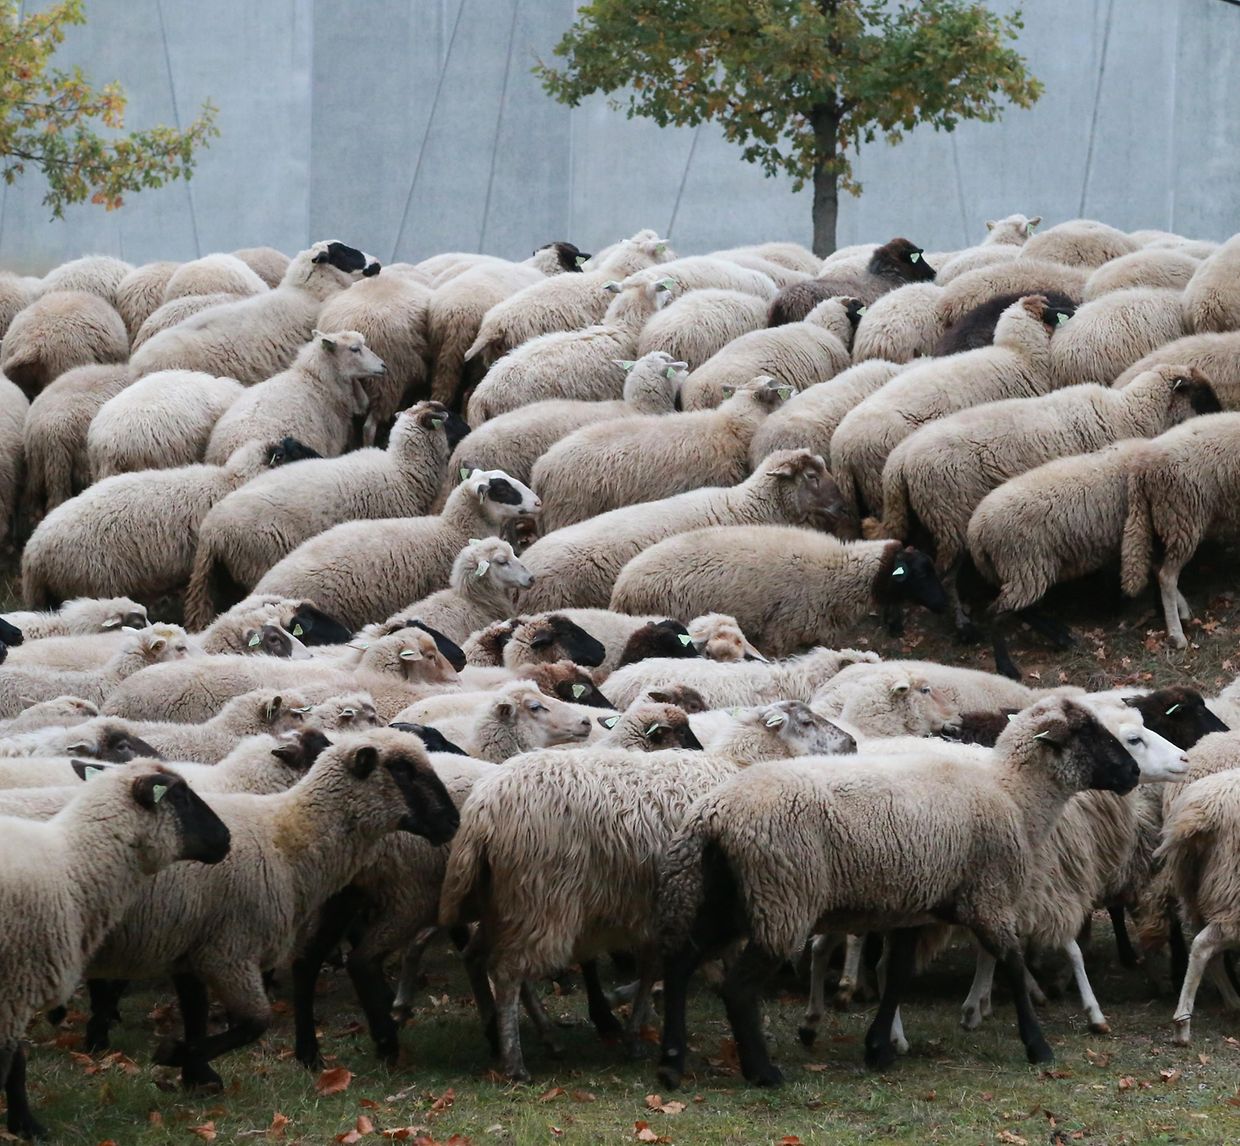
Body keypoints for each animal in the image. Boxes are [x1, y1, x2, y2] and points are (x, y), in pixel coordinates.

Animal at [0, 762, 230, 1139]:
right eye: (180, 796)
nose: (227, 838)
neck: (71, 869)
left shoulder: (15, 990)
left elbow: (15, 1062)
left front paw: (25, 1125)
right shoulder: (14, 988)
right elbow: (9, 1063)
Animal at [656, 696, 1137, 1086]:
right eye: (1087, 731)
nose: (1132, 772)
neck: (1013, 794)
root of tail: (713, 815)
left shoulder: (916, 907)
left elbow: (897, 974)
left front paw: (879, 1048)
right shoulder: (988, 896)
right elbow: (1014, 965)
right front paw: (1037, 1046)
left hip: (724, 900)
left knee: (678, 965)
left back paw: (672, 1063)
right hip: (782, 899)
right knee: (737, 989)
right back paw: (762, 1072)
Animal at [874, 364, 1221, 633]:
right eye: (1203, 395)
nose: (1224, 419)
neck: (1129, 414)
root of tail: (899, 460)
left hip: (924, 517)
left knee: (897, 553)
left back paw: (893, 617)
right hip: (951, 518)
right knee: (946, 576)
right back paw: (962, 622)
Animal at [1120, 412, 1240, 647]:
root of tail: (1141, 466)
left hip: (1162, 518)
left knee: (1157, 566)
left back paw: (1182, 611)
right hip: (1182, 518)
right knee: (1167, 576)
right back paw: (1177, 634)